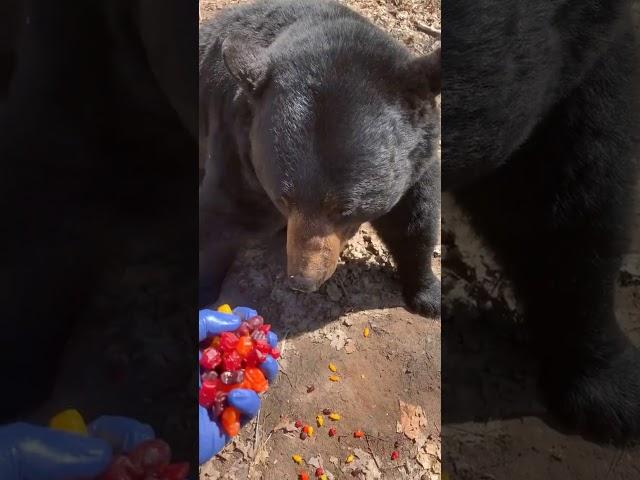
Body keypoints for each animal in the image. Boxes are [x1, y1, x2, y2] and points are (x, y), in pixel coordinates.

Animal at [198, 0, 442, 316]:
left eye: (345, 209)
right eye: (283, 199)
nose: (302, 280)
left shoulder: (416, 159)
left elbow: (415, 219)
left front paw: (428, 294)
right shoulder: (237, 143)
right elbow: (222, 215)